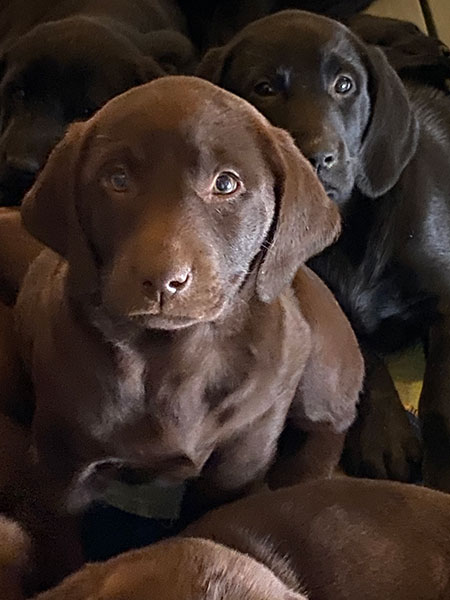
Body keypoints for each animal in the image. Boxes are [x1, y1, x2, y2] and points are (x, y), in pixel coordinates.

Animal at [15, 75, 364, 584]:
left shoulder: (241, 456)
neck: (173, 358)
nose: (163, 280)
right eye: (117, 179)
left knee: (334, 421)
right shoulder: (62, 465)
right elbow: (62, 544)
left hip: (316, 364)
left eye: (226, 184)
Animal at [198, 8, 450, 488]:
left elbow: (441, 395)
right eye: (264, 87)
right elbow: (363, 356)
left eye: (345, 84)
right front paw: (384, 436)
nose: (318, 156)